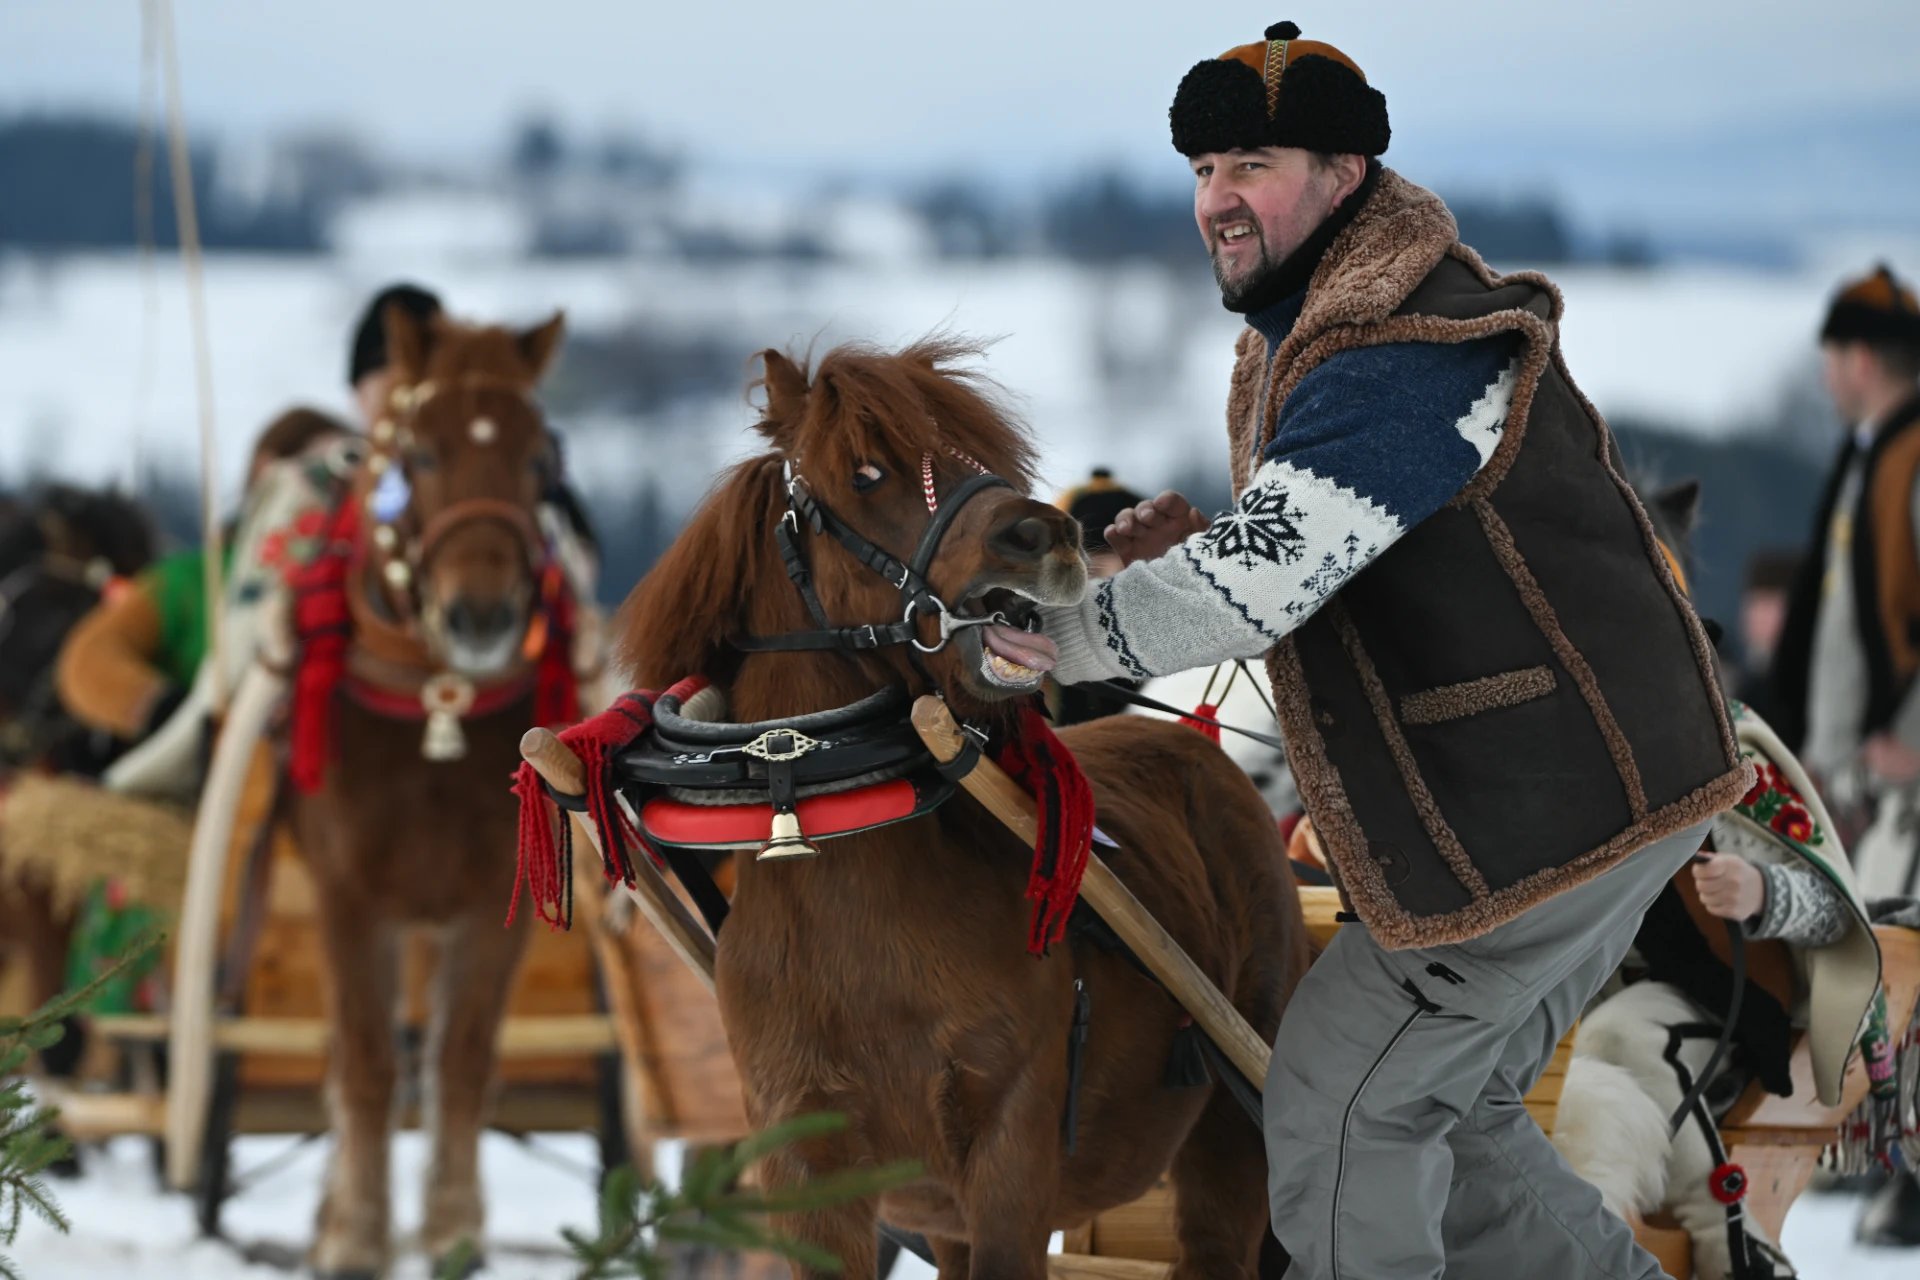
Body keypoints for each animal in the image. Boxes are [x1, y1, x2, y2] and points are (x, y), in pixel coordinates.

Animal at [285, 302, 581, 1277]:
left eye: (539, 458)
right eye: (418, 454)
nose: (480, 616)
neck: (434, 707)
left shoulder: (495, 896)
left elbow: (461, 1057)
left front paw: (453, 1227)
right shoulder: (347, 894)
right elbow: (369, 1060)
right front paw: (357, 1234)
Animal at [614, 338, 1310, 1280]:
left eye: (984, 455)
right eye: (866, 471)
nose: (1047, 535)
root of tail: (1198, 745)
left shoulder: (1010, 1153)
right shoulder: (811, 1167)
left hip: (1233, 1125)